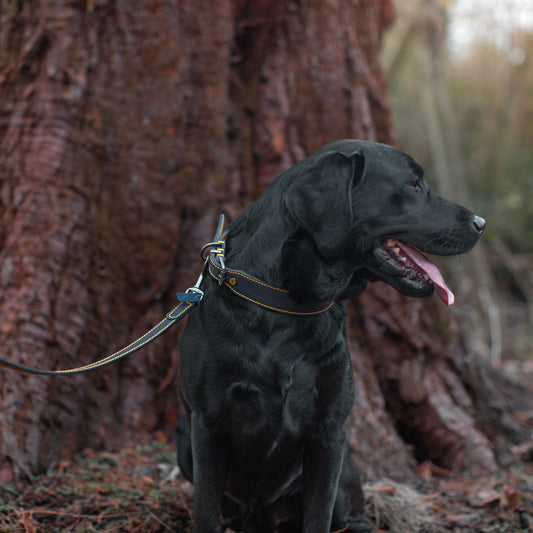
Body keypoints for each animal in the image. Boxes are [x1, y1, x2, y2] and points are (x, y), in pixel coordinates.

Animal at [177, 139, 484, 528]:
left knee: (353, 517)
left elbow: (318, 517)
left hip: (346, 467)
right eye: (413, 184)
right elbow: (205, 512)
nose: (482, 223)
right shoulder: (206, 423)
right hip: (183, 438)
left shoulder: (328, 432)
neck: (287, 304)